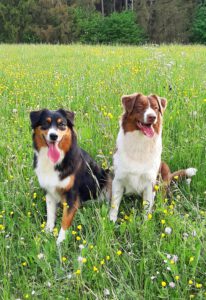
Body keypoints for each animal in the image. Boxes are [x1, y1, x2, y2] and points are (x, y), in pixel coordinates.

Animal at [109, 92, 196, 221]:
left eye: (155, 108)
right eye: (140, 107)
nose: (153, 117)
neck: (140, 143)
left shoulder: (149, 183)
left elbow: (147, 209)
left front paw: (145, 224)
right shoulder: (118, 179)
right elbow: (114, 205)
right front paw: (111, 221)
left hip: (164, 169)